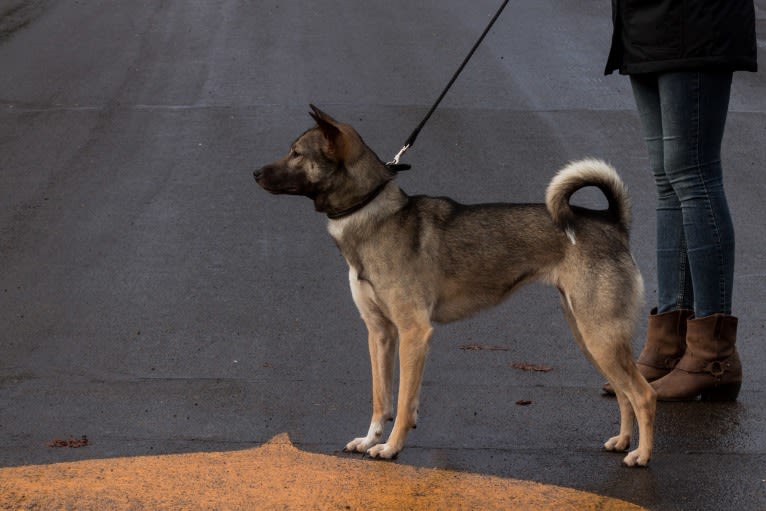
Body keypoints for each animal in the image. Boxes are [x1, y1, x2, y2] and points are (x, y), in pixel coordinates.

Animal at [255, 106, 656, 466]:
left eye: (296, 153)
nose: (255, 172)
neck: (372, 213)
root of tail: (612, 221)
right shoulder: (379, 333)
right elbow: (381, 399)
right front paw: (370, 439)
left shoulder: (414, 332)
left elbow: (402, 403)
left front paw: (391, 448)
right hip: (590, 337)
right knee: (623, 393)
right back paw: (622, 441)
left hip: (600, 336)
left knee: (643, 394)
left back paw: (641, 455)